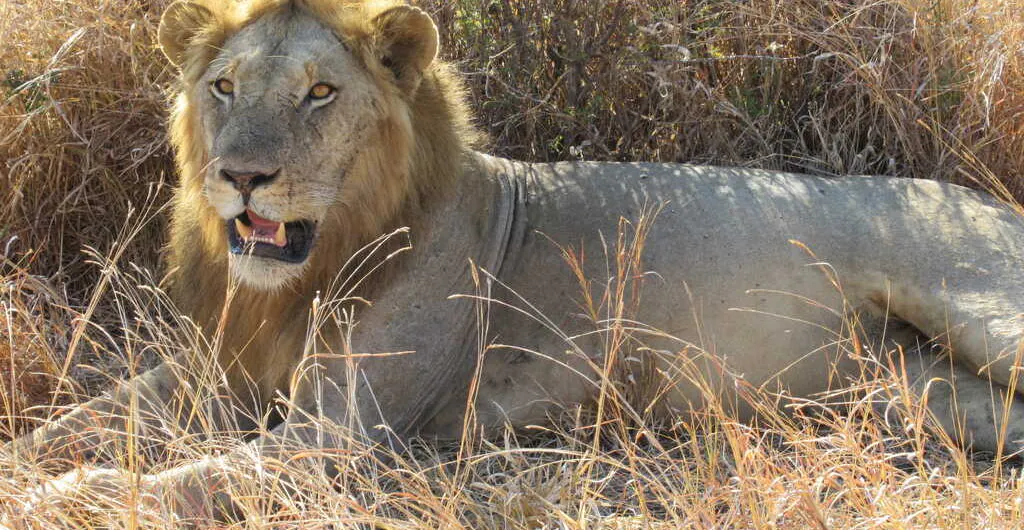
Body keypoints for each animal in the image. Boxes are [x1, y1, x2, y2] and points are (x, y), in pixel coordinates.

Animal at [8, 0, 1024, 522]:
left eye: (320, 94)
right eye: (223, 87)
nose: (241, 177)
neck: (302, 277)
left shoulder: (345, 437)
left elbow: (166, 477)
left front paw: (52, 498)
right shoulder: (215, 371)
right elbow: (80, 421)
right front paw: (31, 456)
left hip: (978, 310)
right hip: (902, 383)